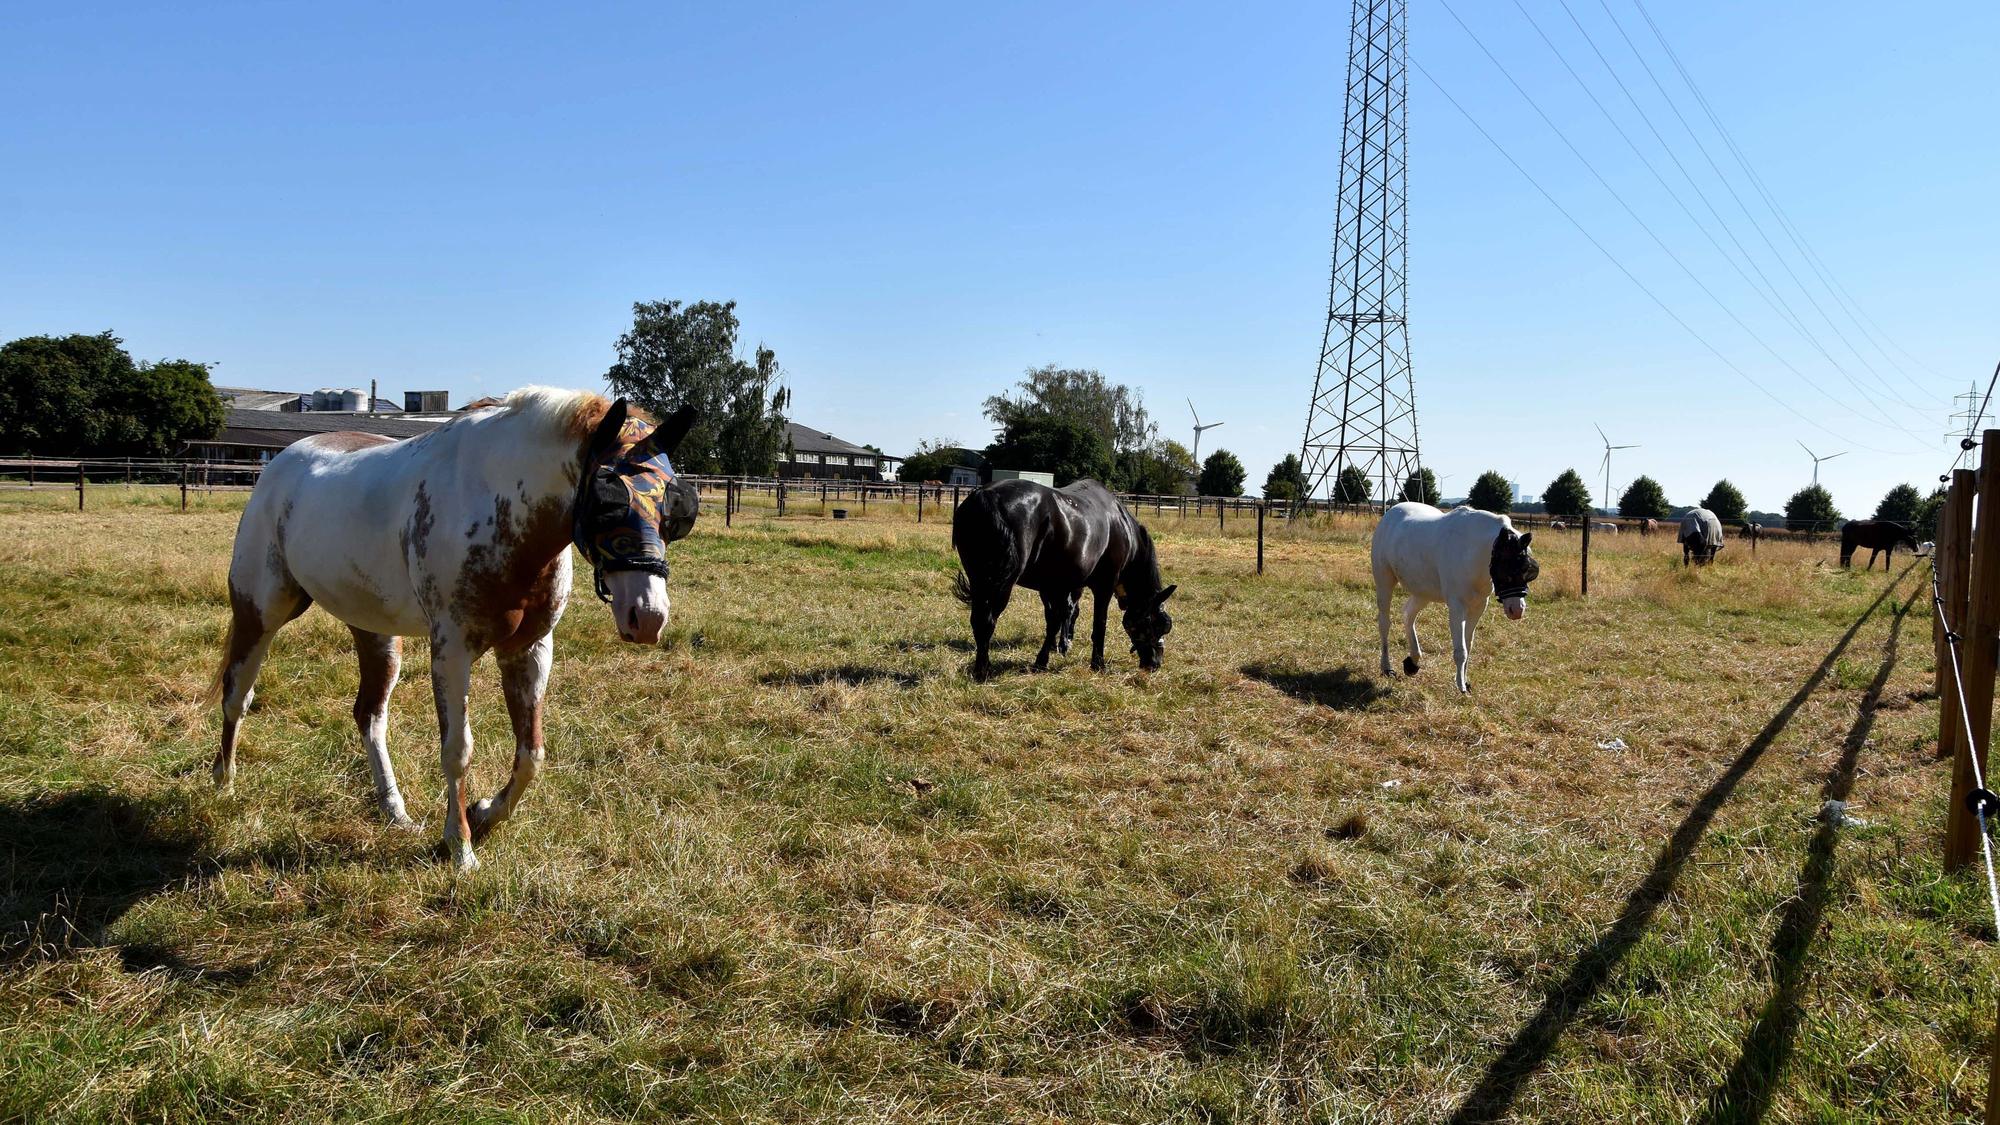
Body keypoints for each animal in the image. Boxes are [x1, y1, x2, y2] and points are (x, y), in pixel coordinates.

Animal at [212, 388, 699, 871]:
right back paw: (224, 782)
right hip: (261, 613)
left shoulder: (529, 650)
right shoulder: (452, 651)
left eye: (675, 509)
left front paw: (483, 815)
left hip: (376, 632)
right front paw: (460, 846)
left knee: (370, 715)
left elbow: (531, 755)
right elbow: (457, 751)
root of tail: (278, 466)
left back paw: (395, 810)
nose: (648, 616)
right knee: (238, 694)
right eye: (607, 501)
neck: (501, 510)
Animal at [952, 478, 1175, 680]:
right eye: (1157, 624)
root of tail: (985, 496)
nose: (1155, 663)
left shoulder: (1056, 586)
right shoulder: (1103, 586)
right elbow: (1098, 624)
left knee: (978, 620)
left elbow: (1055, 619)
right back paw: (982, 670)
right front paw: (1097, 664)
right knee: (987, 621)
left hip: (979, 580)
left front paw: (1046, 657)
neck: (1121, 526)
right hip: (1001, 585)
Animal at [1372, 503, 1540, 694]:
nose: (1517, 610)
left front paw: (1465, 681)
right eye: (1506, 566)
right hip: (1384, 582)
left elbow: (1468, 645)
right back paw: (1386, 667)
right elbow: (1461, 651)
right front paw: (1461, 686)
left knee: (1408, 614)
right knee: (1384, 623)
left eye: (1527, 568)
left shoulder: (1478, 606)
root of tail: (1391, 513)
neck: (1472, 550)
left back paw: (1412, 662)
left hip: (1424, 593)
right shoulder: (1457, 606)